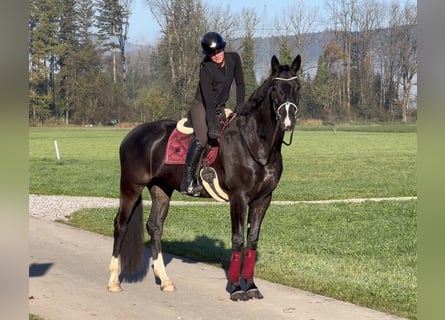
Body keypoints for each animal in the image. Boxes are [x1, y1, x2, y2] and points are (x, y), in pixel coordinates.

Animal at [107, 53, 302, 302]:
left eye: (297, 87)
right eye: (275, 88)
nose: (288, 120)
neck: (256, 144)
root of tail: (132, 134)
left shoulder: (263, 199)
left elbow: (252, 240)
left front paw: (250, 284)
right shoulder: (239, 198)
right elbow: (238, 239)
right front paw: (236, 288)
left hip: (161, 189)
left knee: (155, 227)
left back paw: (165, 280)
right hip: (131, 186)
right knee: (120, 224)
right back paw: (114, 281)